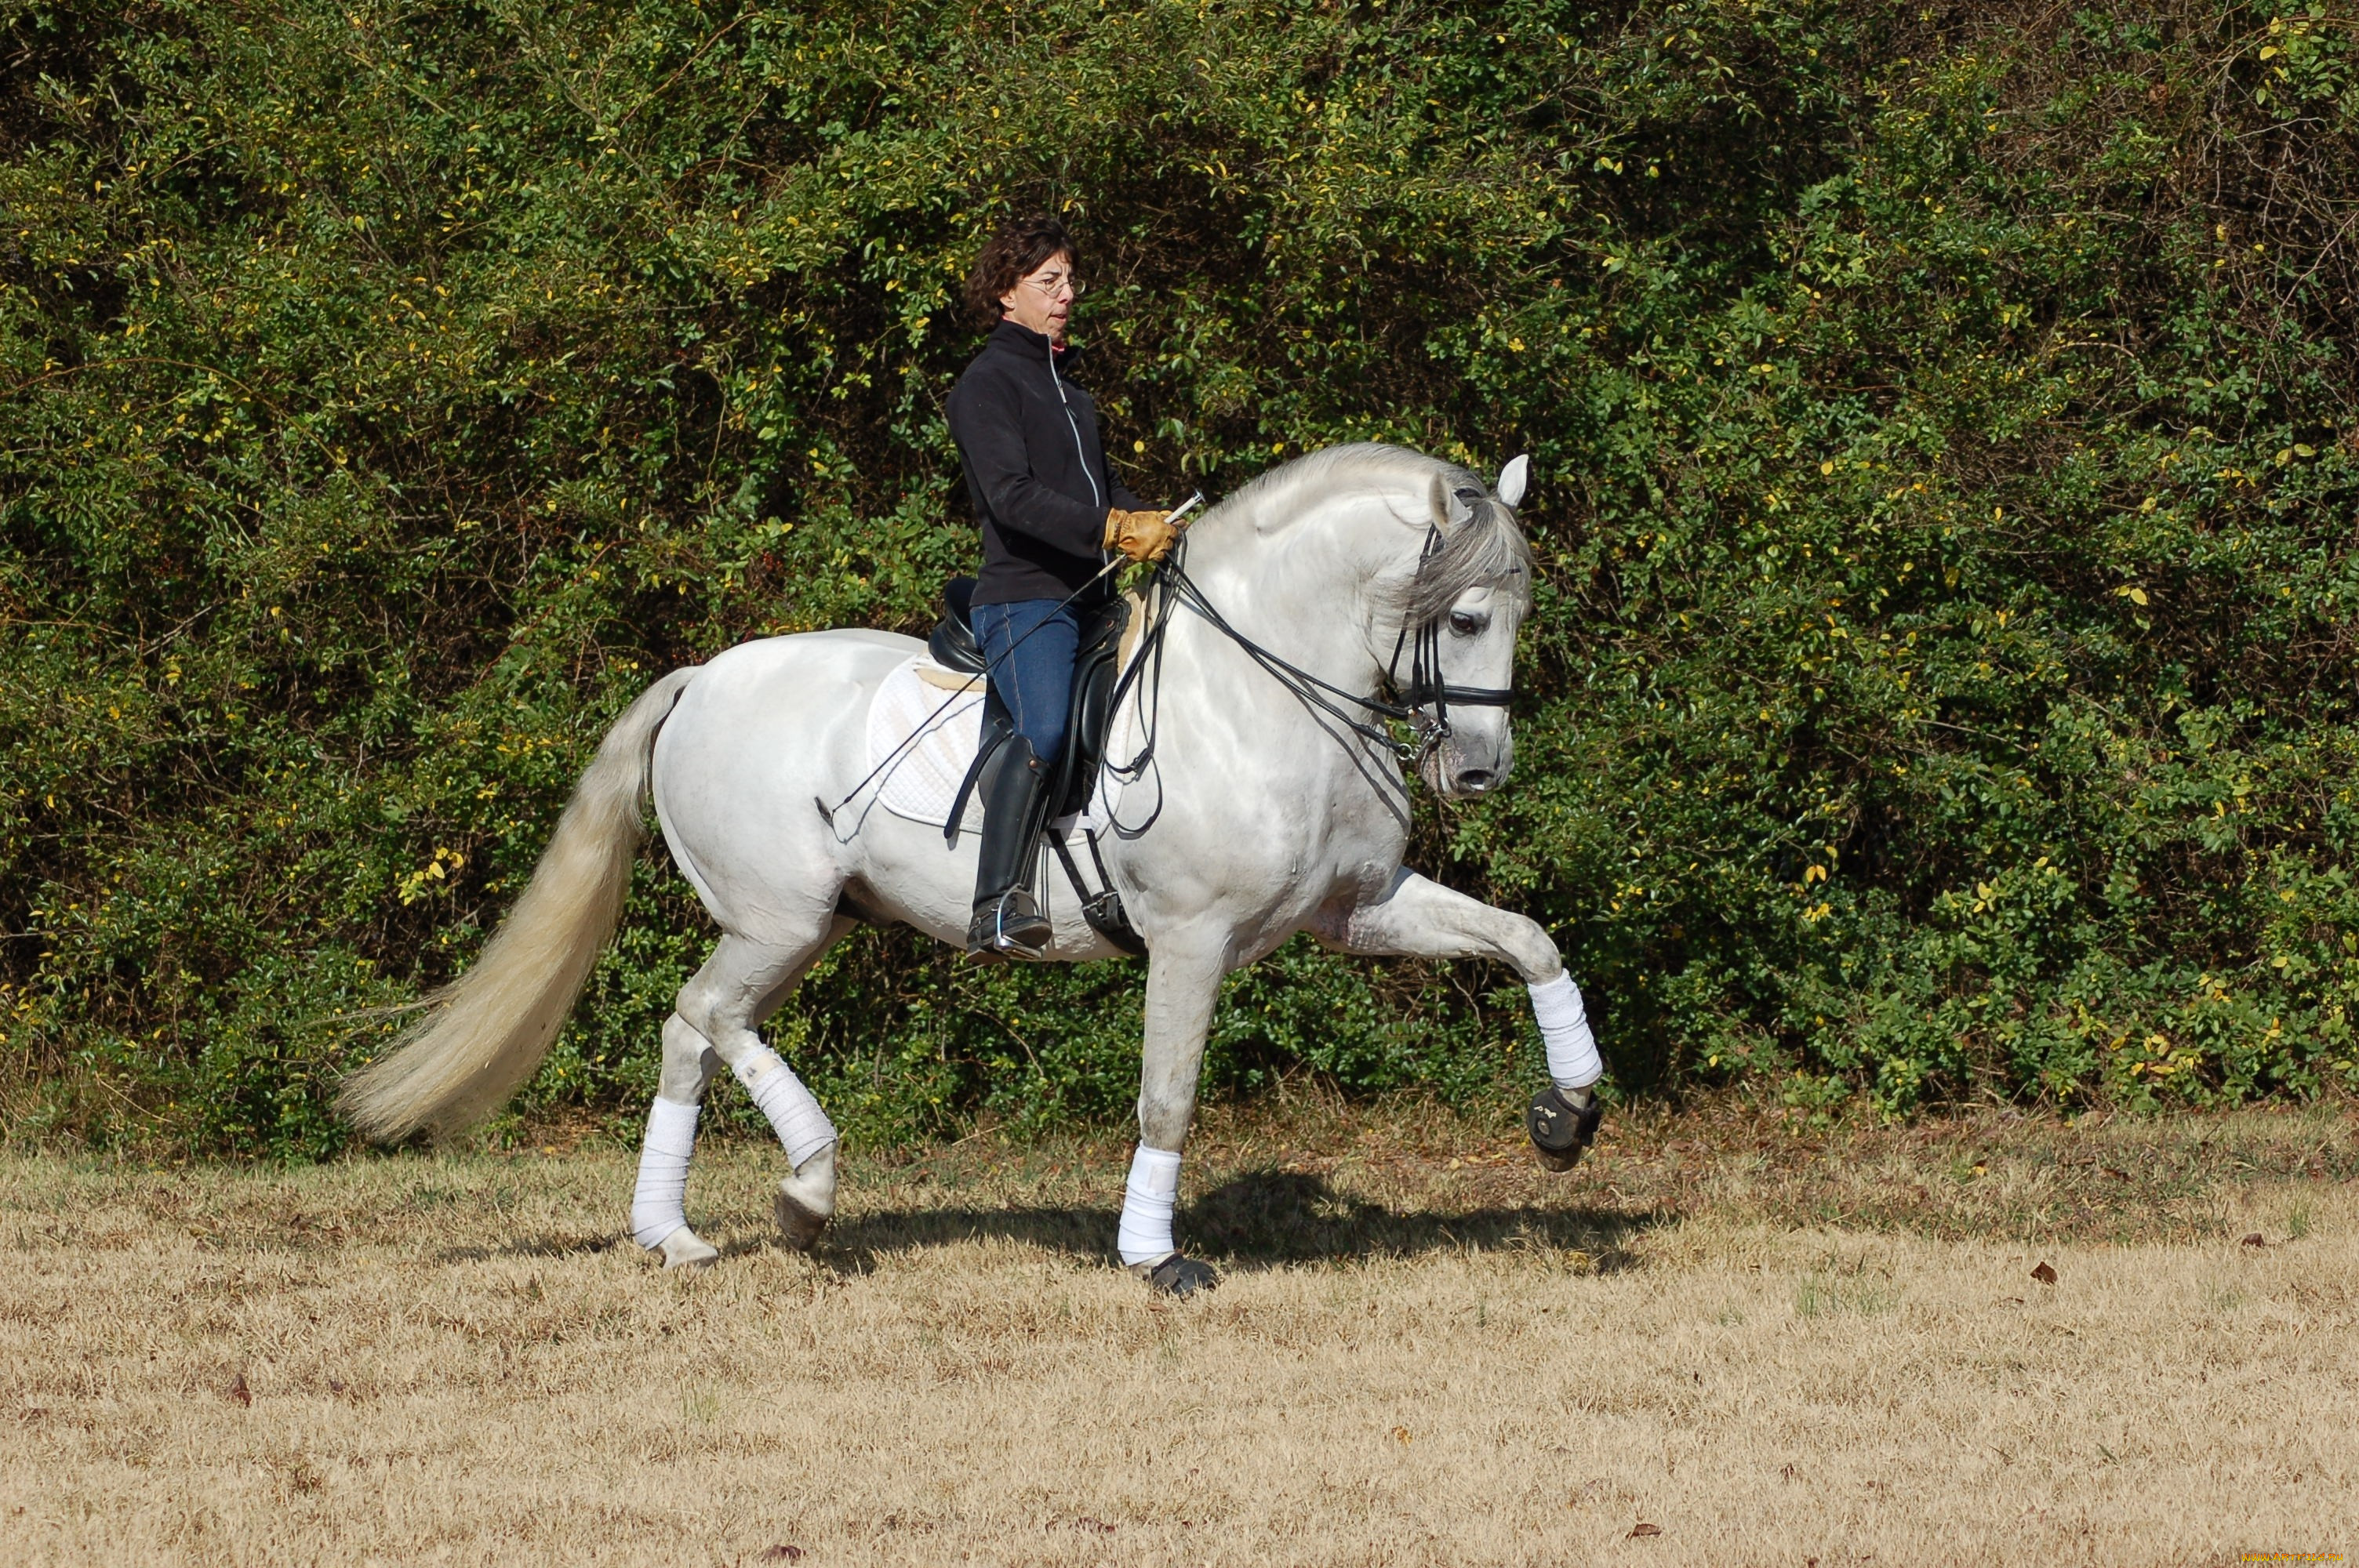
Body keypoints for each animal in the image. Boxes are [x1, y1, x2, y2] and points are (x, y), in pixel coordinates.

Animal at [344, 436, 1604, 1283]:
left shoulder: (1359, 907)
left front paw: (1568, 1114)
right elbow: (1167, 1097)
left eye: (1519, 614)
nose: (1480, 773)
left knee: (688, 1032)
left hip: (797, 926)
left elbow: (1528, 939)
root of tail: (701, 677)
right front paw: (1154, 1256)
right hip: (779, 918)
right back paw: (806, 1191)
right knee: (710, 1016)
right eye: (1469, 618)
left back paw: (675, 1233)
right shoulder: (1190, 939)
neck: (1265, 690)